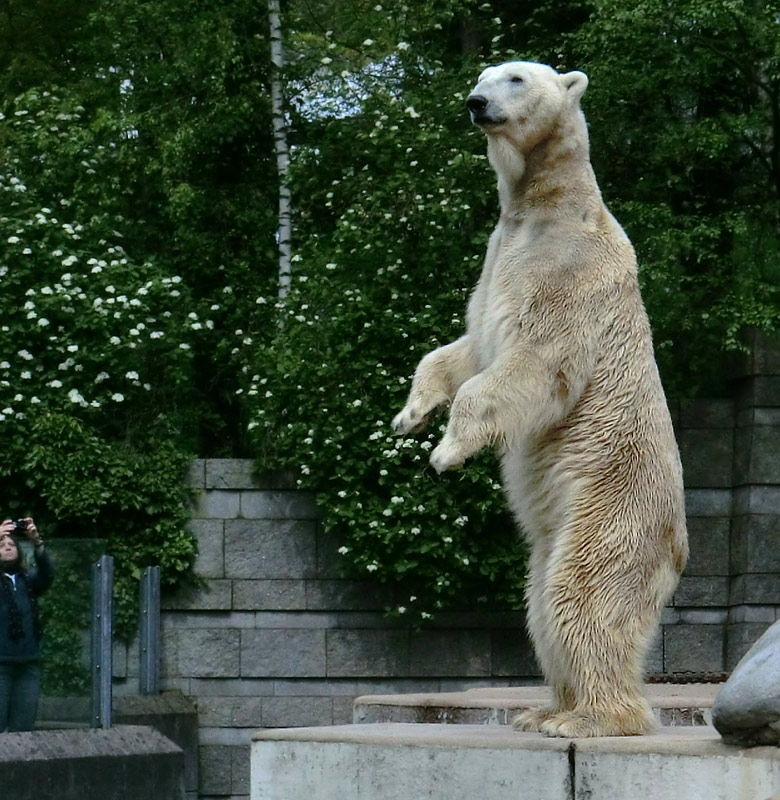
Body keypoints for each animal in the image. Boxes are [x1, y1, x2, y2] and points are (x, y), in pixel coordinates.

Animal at [394, 61, 684, 736]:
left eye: (516, 78)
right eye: (484, 76)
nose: (475, 103)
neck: (543, 206)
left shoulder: (565, 270)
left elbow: (531, 362)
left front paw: (446, 453)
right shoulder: (497, 259)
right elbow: (470, 346)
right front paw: (410, 414)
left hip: (611, 506)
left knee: (584, 597)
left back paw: (590, 719)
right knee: (540, 604)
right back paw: (544, 709)